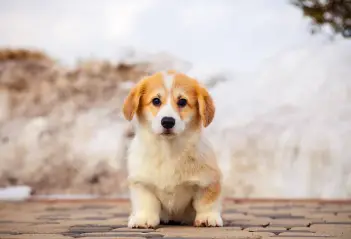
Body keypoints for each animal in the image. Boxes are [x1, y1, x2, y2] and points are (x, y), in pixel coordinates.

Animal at [122, 69, 224, 228]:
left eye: (182, 101)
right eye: (156, 101)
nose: (168, 121)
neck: (168, 149)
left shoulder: (208, 180)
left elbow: (206, 202)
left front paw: (208, 218)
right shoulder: (141, 182)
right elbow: (147, 202)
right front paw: (143, 219)